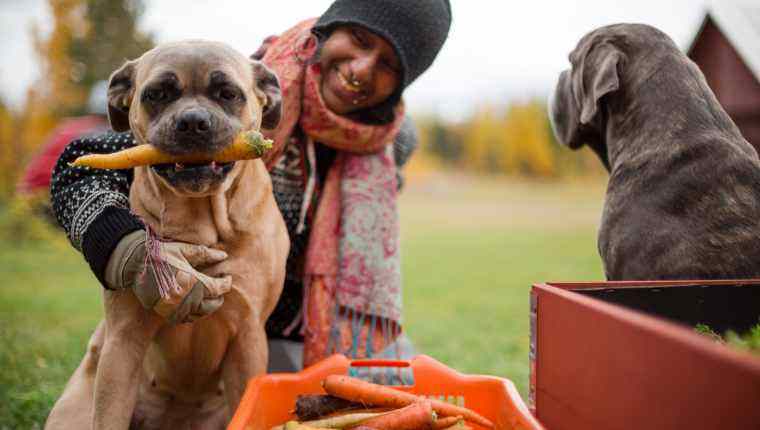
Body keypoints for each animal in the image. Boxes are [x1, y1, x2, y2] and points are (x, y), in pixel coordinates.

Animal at [45, 39, 288, 426]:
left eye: (227, 93)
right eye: (157, 93)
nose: (193, 122)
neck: (200, 221)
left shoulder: (248, 339)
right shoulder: (123, 340)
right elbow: (109, 416)